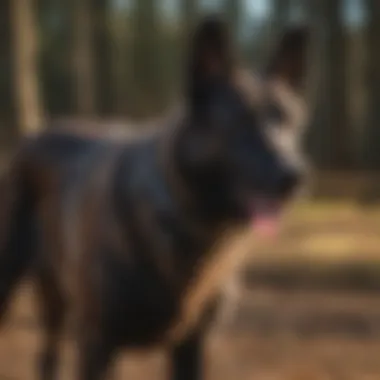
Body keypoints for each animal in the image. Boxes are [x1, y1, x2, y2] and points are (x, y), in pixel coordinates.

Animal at [0, 15, 308, 380]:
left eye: (290, 123)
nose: (295, 175)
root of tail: (32, 137)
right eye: (240, 123)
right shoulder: (96, 343)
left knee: (47, 356)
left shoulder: (192, 347)